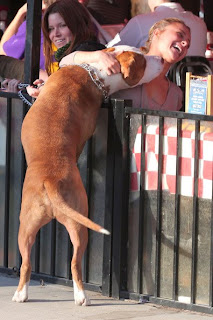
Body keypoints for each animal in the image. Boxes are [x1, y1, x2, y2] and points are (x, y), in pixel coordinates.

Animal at [12, 47, 163, 304]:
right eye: (144, 60)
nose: (161, 59)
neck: (95, 72)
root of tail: (50, 180)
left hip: (32, 226)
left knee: (29, 263)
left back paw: (24, 294)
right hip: (71, 222)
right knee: (73, 262)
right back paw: (80, 296)